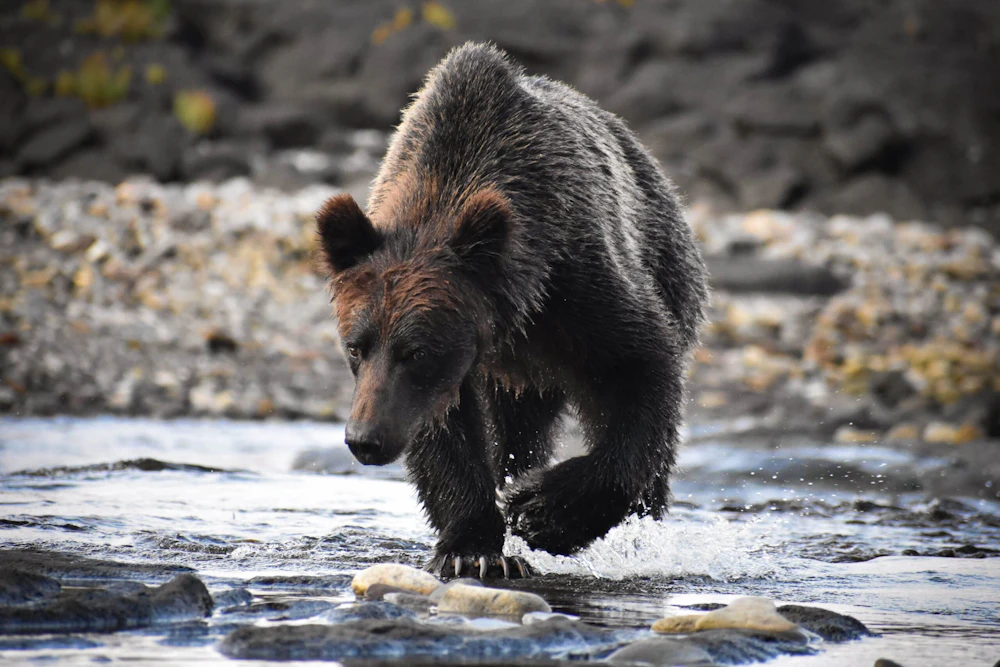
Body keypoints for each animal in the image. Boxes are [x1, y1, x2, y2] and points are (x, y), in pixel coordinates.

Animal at [315, 42, 708, 579]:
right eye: (355, 347)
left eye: (416, 351)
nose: (365, 439)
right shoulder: (452, 368)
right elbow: (445, 433)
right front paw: (473, 548)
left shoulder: (580, 284)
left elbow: (640, 371)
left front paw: (538, 510)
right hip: (518, 379)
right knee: (518, 429)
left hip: (670, 268)